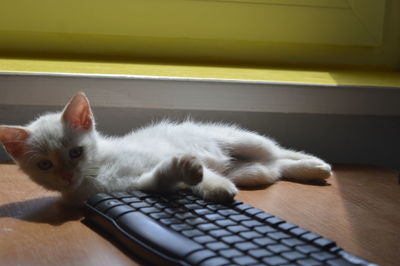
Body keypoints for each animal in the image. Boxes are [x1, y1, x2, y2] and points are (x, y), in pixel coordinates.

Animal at [0, 92, 332, 205]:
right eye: (45, 165)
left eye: (75, 152)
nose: (68, 176)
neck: (99, 172)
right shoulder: (142, 185)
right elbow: (163, 177)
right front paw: (197, 176)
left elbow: (203, 172)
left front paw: (208, 181)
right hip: (253, 171)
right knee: (275, 167)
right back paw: (310, 169)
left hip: (241, 140)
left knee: (278, 150)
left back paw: (316, 164)